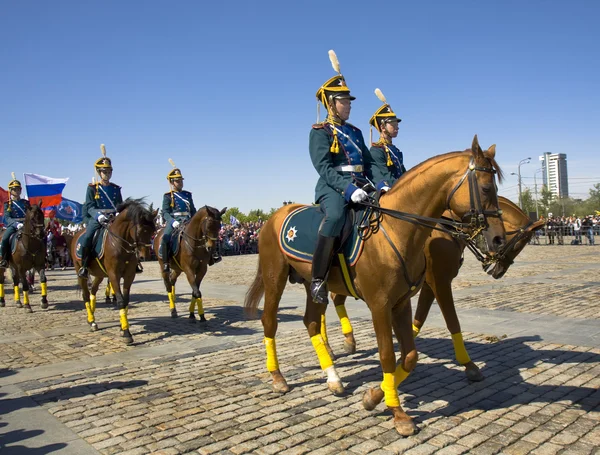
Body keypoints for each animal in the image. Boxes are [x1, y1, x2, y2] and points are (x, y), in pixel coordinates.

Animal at [69, 200, 157, 346]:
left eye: (153, 231)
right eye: (139, 230)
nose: (145, 256)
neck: (120, 243)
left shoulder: (129, 275)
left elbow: (126, 301)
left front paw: (123, 327)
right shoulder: (113, 275)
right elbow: (121, 301)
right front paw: (126, 333)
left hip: (99, 274)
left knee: (93, 291)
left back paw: (92, 317)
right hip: (79, 271)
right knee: (86, 295)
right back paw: (92, 321)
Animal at [244, 137, 506, 436]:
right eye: (486, 187)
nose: (499, 239)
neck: (396, 230)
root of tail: (274, 217)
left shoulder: (402, 302)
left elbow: (410, 356)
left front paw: (373, 397)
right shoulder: (381, 304)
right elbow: (388, 355)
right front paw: (398, 413)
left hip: (314, 284)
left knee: (311, 321)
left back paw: (334, 378)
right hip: (274, 277)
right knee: (269, 322)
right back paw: (278, 378)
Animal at [330, 196, 548, 382]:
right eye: (520, 243)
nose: (498, 271)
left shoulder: (426, 286)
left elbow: (419, 319)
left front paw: (402, 355)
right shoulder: (440, 282)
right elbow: (452, 321)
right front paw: (469, 365)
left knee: (335, 299)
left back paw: (347, 344)